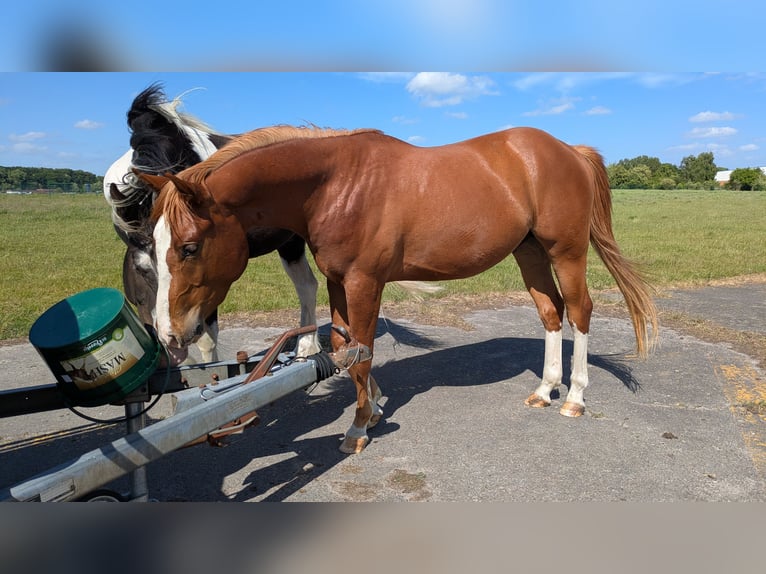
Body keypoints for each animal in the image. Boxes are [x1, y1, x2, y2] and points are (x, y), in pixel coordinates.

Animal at [103, 84, 321, 363]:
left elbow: (206, 337)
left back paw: (306, 346)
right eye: (142, 269)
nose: (172, 339)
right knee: (307, 285)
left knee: (307, 287)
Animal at [136, 124, 659, 454]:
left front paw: (357, 429)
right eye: (151, 244)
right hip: (528, 252)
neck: (335, 185)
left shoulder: (364, 282)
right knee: (550, 313)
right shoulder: (338, 282)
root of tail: (569, 150)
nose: (170, 334)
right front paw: (374, 409)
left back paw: (573, 398)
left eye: (188, 247)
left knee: (579, 311)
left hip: (566, 252)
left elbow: (362, 353)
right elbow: (345, 346)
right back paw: (545, 389)